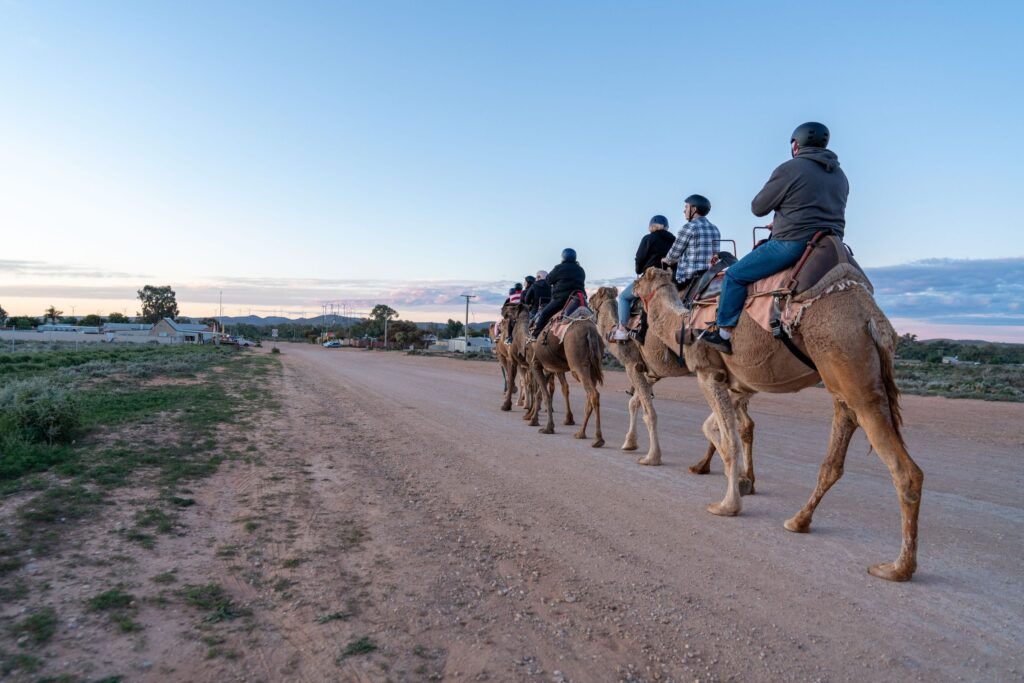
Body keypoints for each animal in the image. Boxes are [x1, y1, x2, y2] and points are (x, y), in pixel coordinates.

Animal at [525, 310, 605, 448]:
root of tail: (590, 332)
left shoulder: (535, 364)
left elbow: (544, 395)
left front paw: (546, 426)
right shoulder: (551, 368)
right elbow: (541, 393)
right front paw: (533, 418)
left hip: (577, 365)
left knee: (593, 394)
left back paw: (598, 439)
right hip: (593, 366)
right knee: (590, 395)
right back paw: (581, 433)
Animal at [590, 287, 756, 490]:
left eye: (594, 296)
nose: (588, 302)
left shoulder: (632, 364)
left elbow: (648, 412)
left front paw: (651, 457)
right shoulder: (652, 373)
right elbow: (634, 403)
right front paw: (630, 442)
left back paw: (718, 470)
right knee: (745, 423)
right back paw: (743, 477)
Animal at [633, 266, 923, 581]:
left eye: (640, 279)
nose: (632, 291)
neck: (683, 322)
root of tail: (872, 319)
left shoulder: (708, 372)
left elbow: (729, 439)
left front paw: (727, 505)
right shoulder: (740, 385)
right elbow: (719, 428)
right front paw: (738, 481)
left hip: (847, 358)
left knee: (906, 471)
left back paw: (897, 567)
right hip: (846, 379)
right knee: (834, 457)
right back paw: (798, 521)